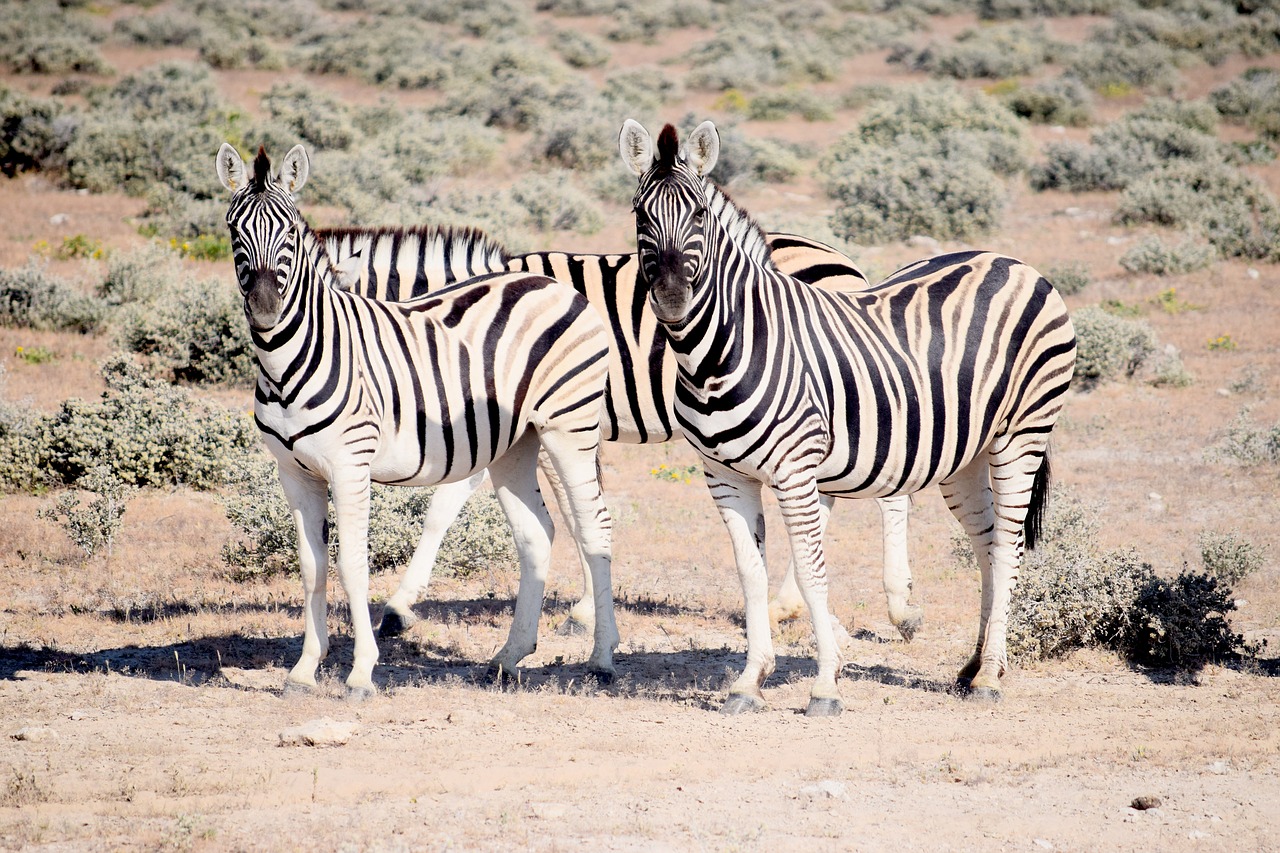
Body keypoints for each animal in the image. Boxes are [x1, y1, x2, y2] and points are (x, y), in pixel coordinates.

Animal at [215, 140, 619, 696]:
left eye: (291, 232)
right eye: (235, 231)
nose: (264, 308)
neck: (291, 360)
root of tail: (552, 284)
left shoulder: (350, 465)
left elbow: (352, 564)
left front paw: (361, 672)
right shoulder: (294, 473)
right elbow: (311, 568)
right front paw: (303, 669)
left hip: (568, 428)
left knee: (595, 527)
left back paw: (601, 658)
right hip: (517, 444)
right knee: (536, 535)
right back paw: (508, 657)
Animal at [317, 222, 921, 640]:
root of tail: (841, 259)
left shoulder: (541, 417)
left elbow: (560, 510)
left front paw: (585, 612)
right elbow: (465, 507)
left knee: (888, 493)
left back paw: (899, 608)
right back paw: (789, 605)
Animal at [624, 119, 1075, 712]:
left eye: (699, 214)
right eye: (640, 215)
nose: (673, 299)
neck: (721, 352)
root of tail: (1010, 260)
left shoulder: (795, 470)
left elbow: (812, 572)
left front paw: (825, 685)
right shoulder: (723, 476)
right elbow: (749, 574)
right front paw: (749, 681)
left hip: (1021, 434)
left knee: (1007, 545)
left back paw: (990, 679)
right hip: (965, 454)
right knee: (985, 544)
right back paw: (974, 667)